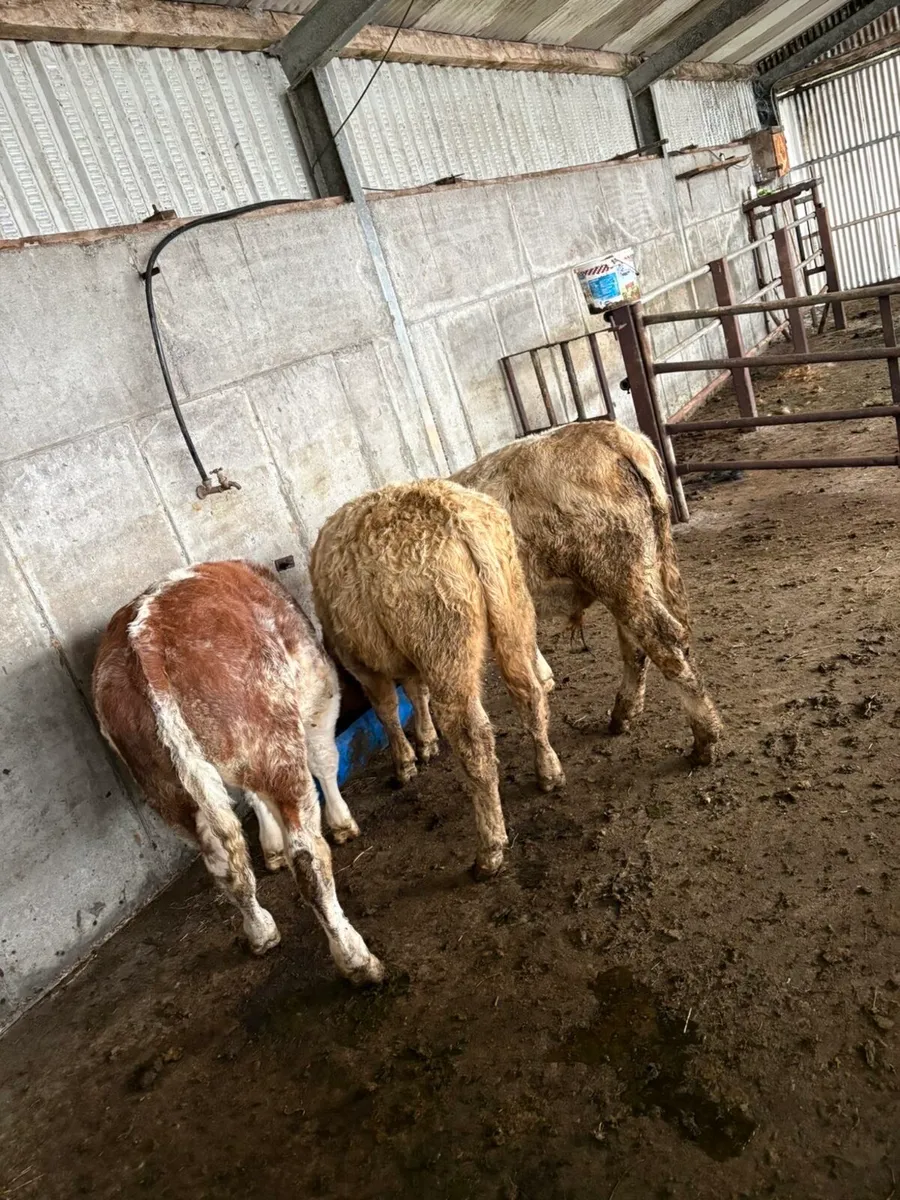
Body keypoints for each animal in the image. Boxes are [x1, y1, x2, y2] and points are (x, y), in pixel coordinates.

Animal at [92, 559, 383, 986]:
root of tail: (142, 643)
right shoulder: (318, 693)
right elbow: (325, 759)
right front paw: (342, 822)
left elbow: (253, 798)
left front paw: (270, 846)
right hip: (277, 745)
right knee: (307, 859)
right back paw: (356, 958)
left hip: (170, 789)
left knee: (223, 865)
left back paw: (260, 931)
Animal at [309, 479, 565, 879]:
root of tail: (453, 512)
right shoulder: (409, 660)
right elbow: (416, 693)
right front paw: (426, 741)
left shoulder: (364, 666)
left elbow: (387, 709)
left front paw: (405, 762)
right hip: (514, 615)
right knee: (530, 693)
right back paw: (548, 770)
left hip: (445, 648)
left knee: (474, 737)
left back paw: (490, 848)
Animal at [452, 421, 722, 765]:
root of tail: (610, 433)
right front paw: (544, 677)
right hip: (639, 573)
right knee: (639, 643)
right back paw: (623, 713)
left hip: (614, 573)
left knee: (663, 641)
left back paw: (704, 739)